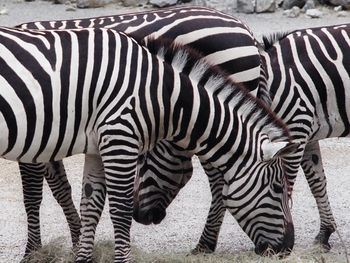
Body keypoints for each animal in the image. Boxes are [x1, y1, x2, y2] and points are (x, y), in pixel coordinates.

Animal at [0, 26, 296, 262]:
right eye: (278, 187)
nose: (288, 247)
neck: (163, 96)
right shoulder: (120, 137)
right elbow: (119, 210)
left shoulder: (97, 146)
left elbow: (91, 205)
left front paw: (84, 258)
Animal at [134, 22, 350, 254]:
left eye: (143, 159)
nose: (137, 215)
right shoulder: (307, 135)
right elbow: (318, 183)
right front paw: (324, 233)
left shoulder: (297, 128)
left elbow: (288, 183)